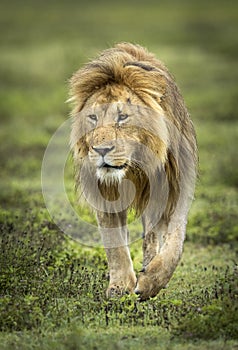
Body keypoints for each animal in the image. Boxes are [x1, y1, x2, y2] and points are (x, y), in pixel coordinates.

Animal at [69, 42, 197, 300]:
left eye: (122, 117)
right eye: (93, 117)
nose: (101, 150)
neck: (135, 168)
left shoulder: (177, 187)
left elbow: (175, 242)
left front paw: (151, 282)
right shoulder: (103, 192)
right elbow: (114, 242)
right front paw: (120, 287)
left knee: (153, 236)